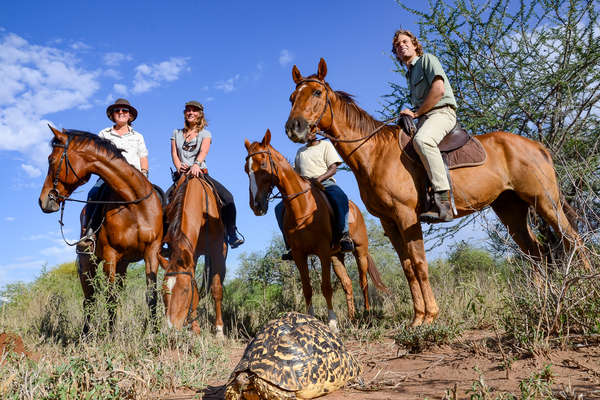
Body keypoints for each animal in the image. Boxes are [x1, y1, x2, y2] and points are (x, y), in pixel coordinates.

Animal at [38, 126, 163, 332]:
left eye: (51, 159)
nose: (43, 201)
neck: (133, 203)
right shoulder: (110, 256)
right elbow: (110, 299)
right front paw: (111, 337)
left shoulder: (151, 253)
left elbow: (151, 296)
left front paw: (156, 333)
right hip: (88, 263)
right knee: (89, 300)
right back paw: (86, 334)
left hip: (122, 265)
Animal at [161, 173, 229, 336]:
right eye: (162, 292)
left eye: (185, 290)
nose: (170, 329)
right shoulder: (191, 253)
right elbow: (196, 289)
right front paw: (195, 328)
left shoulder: (217, 251)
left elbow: (216, 289)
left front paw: (219, 330)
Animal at [244, 130, 390, 330]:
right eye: (246, 169)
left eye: (263, 165)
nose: (256, 206)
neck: (302, 207)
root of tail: (355, 209)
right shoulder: (300, 255)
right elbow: (307, 288)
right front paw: (309, 319)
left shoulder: (322, 252)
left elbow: (326, 287)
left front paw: (332, 323)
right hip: (336, 256)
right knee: (347, 284)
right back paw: (352, 318)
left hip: (359, 251)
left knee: (363, 281)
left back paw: (366, 315)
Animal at [284, 60, 588, 328]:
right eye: (291, 97)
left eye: (317, 93)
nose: (293, 127)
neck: (375, 153)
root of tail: (535, 145)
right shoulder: (389, 221)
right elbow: (407, 267)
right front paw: (417, 317)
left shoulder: (407, 216)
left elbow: (419, 263)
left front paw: (430, 315)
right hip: (511, 210)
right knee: (534, 251)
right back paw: (541, 295)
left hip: (546, 202)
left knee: (573, 240)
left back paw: (585, 284)